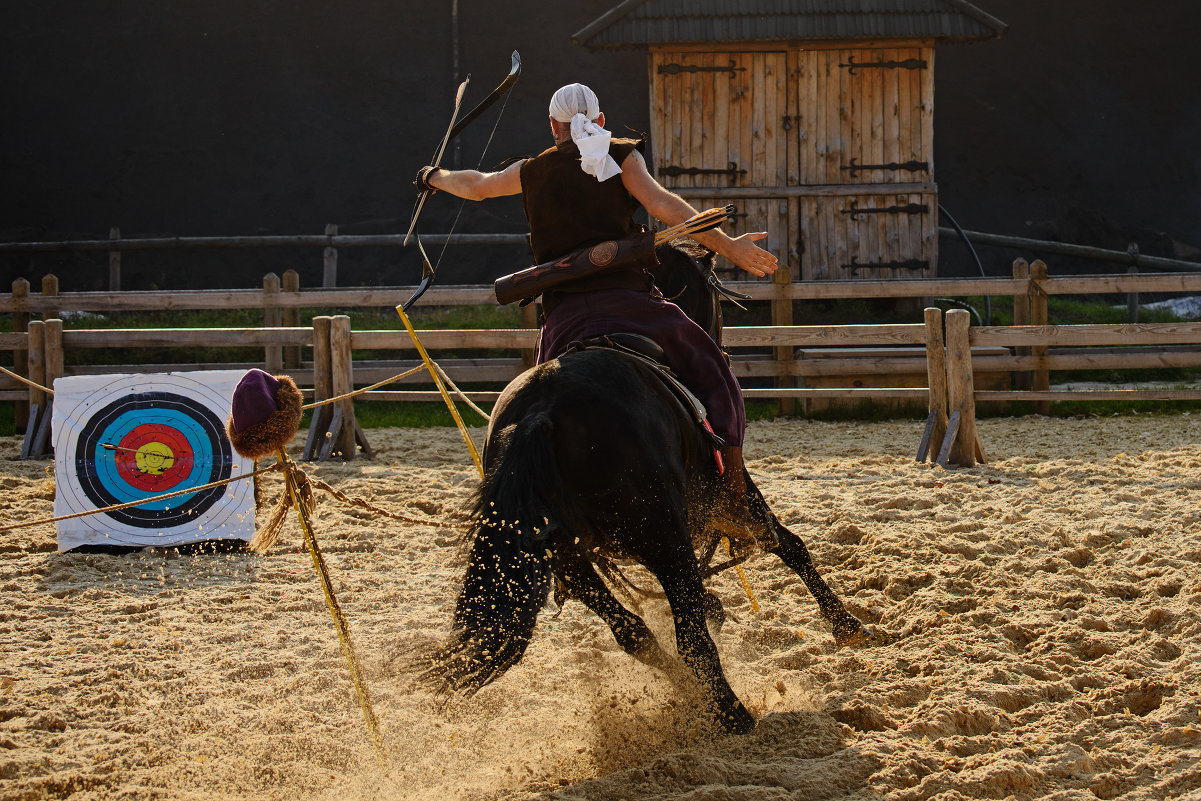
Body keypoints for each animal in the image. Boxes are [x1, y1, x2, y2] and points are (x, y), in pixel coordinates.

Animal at [427, 242, 869, 734]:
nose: (724, 348)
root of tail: (541, 412)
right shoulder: (733, 499)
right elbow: (789, 544)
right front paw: (846, 624)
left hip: (570, 560)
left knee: (634, 631)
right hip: (665, 539)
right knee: (690, 637)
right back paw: (732, 713)